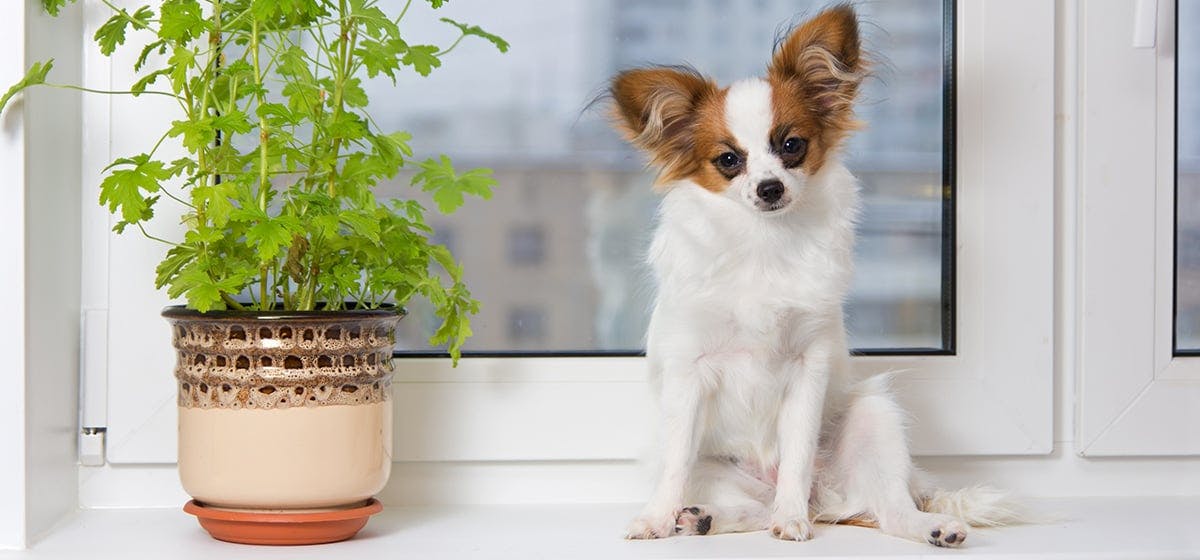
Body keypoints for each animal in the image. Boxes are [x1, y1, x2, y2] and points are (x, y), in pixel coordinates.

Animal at [609, 4, 1012, 549]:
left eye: (791, 145)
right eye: (729, 160)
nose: (770, 188)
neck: (764, 243)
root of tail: (827, 499)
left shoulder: (808, 367)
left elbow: (797, 455)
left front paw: (792, 521)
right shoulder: (690, 372)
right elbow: (675, 462)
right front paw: (655, 518)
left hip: (874, 416)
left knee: (887, 509)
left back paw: (924, 526)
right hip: (716, 468)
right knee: (749, 505)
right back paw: (700, 517)